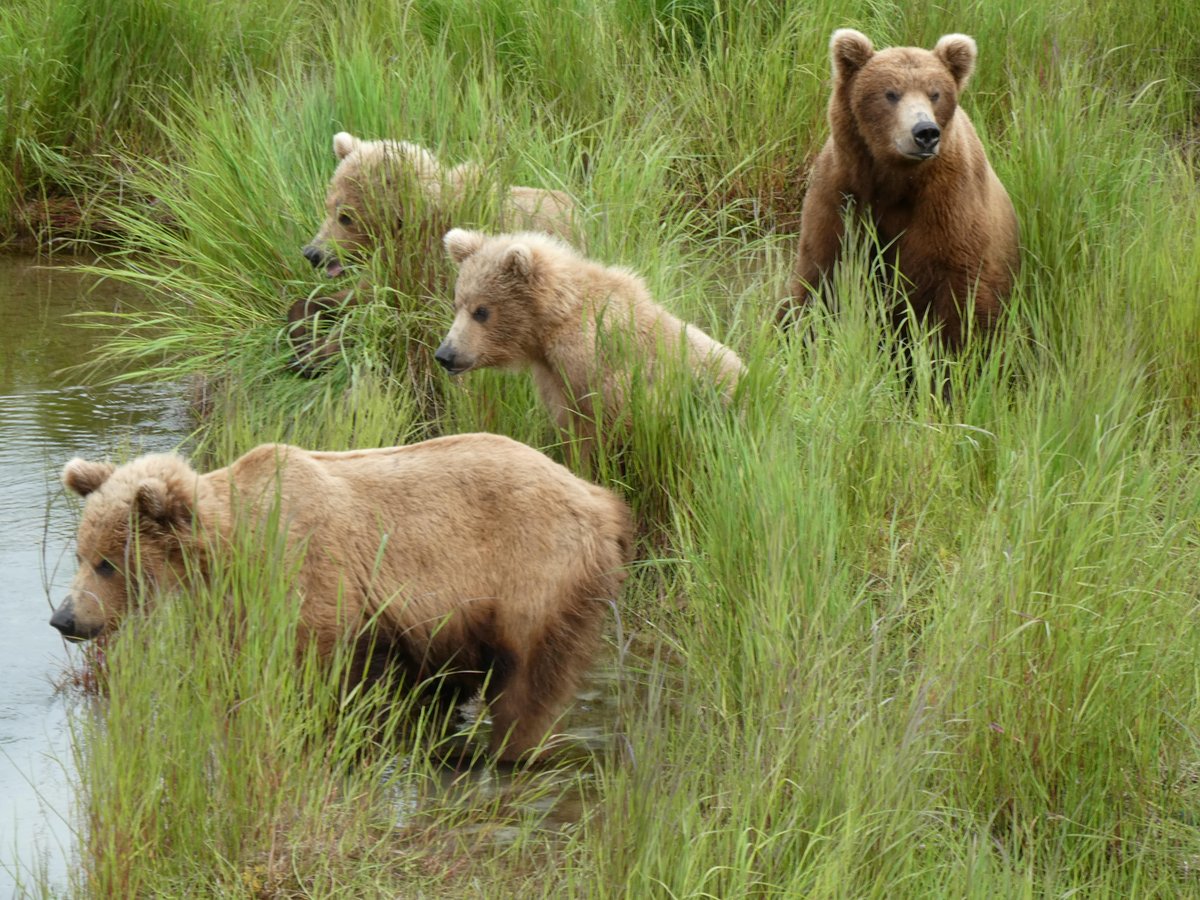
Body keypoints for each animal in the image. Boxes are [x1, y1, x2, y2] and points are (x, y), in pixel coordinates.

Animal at [49, 434, 633, 763]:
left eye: (107, 563)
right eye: (79, 553)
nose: (64, 618)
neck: (232, 549)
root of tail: (600, 500)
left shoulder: (313, 578)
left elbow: (316, 673)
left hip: (533, 576)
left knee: (528, 683)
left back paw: (508, 752)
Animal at [287, 131, 578, 377]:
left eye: (346, 216)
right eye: (328, 206)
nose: (312, 252)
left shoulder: (434, 271)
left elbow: (383, 317)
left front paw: (313, 354)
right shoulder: (392, 269)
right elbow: (350, 298)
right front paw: (300, 332)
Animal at [776, 30, 1019, 349]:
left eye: (935, 93)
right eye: (890, 93)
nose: (925, 132)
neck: (895, 179)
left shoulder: (949, 204)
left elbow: (961, 296)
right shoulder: (841, 195)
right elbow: (819, 278)